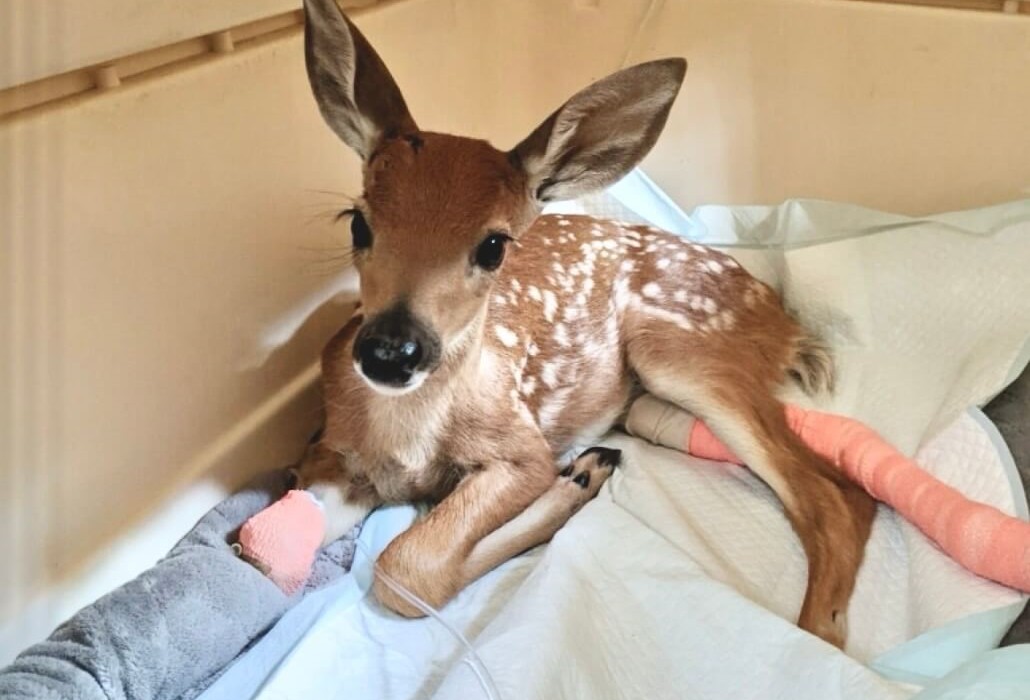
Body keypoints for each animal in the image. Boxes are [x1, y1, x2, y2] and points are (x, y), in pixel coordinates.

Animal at [273, 0, 877, 649]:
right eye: (358, 222)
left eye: (494, 245)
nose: (391, 351)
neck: (405, 439)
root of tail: (782, 318)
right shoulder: (329, 454)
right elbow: (278, 544)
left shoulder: (522, 447)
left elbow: (405, 566)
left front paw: (575, 482)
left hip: (679, 353)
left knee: (831, 494)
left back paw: (819, 632)